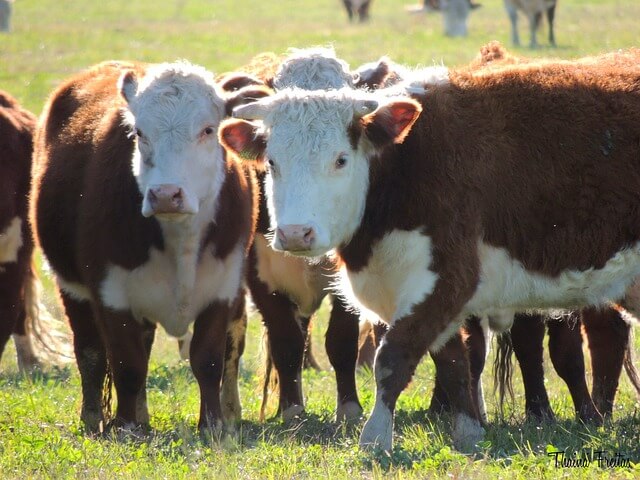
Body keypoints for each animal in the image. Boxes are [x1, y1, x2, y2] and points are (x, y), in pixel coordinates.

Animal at [30, 61, 262, 436]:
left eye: (208, 130)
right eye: (139, 133)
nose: (166, 194)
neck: (180, 238)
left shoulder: (222, 288)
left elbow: (208, 359)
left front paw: (211, 424)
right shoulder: (111, 293)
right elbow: (127, 363)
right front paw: (125, 427)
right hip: (71, 288)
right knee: (91, 353)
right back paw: (95, 418)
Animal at [219, 52, 640, 450]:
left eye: (340, 159)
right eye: (272, 162)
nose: (295, 234)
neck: (407, 164)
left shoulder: (447, 278)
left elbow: (393, 358)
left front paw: (375, 438)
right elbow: (453, 360)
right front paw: (469, 431)